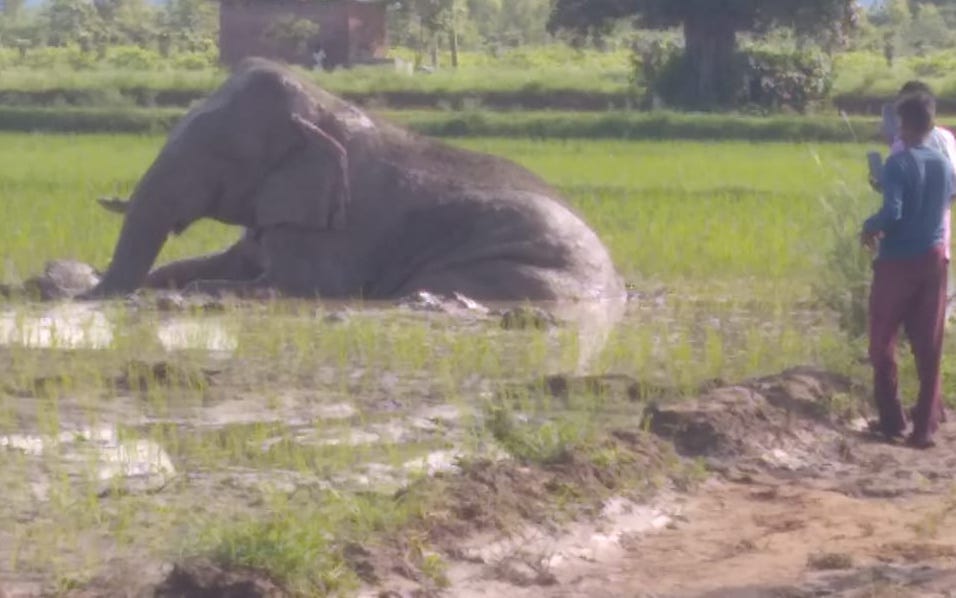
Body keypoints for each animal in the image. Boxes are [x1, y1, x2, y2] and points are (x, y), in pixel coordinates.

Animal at [83, 58, 624, 302]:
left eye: (221, 154)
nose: (86, 296)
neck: (325, 107)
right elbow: (220, 262)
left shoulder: (341, 230)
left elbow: (296, 283)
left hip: (523, 272)